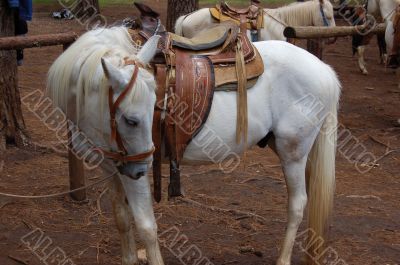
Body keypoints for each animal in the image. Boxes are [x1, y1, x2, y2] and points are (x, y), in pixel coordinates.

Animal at [47, 26, 340, 264]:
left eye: (143, 115)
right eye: (131, 120)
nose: (142, 169)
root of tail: (324, 69)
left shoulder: (131, 170)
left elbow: (146, 226)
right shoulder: (114, 166)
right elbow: (121, 218)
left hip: (293, 153)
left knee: (297, 204)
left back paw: (283, 259)